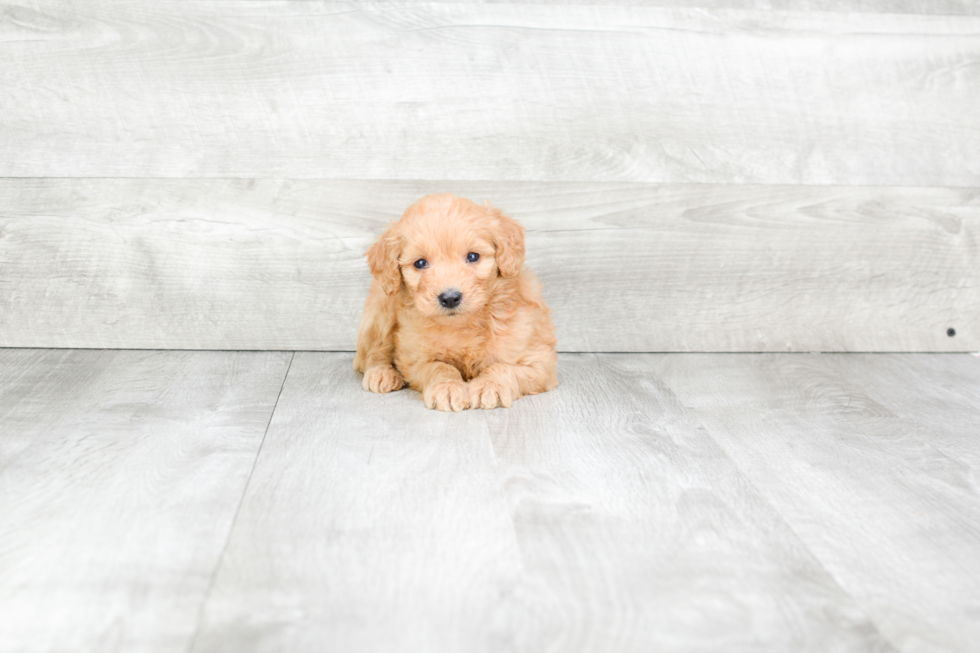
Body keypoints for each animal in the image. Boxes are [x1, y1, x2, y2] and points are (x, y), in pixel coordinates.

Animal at [356, 191, 560, 412]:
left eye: (473, 256)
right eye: (420, 263)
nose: (450, 297)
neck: (462, 325)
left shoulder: (539, 362)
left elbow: (503, 367)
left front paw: (489, 386)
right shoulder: (414, 359)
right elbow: (439, 366)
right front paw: (447, 387)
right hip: (381, 307)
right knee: (371, 352)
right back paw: (381, 373)